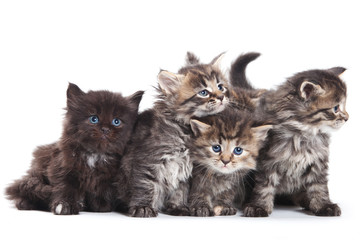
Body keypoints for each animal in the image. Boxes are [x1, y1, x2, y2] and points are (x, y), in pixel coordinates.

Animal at [5, 83, 143, 215]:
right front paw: (64, 205)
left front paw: (100, 206)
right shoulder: (62, 168)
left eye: (116, 121)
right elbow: (65, 188)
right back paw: (24, 203)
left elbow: (102, 190)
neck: (95, 154)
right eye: (94, 119)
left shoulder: (110, 177)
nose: (105, 129)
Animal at [119, 52, 229, 218]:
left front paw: (178, 207)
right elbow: (146, 185)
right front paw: (143, 207)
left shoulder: (187, 168)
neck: (187, 131)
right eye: (203, 92)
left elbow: (181, 190)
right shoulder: (147, 160)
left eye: (221, 87)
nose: (221, 97)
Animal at [231, 58, 348, 218]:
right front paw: (258, 206)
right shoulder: (268, 160)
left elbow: (319, 186)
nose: (347, 118)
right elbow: (264, 186)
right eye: (336, 108)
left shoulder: (318, 161)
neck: (301, 134)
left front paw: (324, 205)